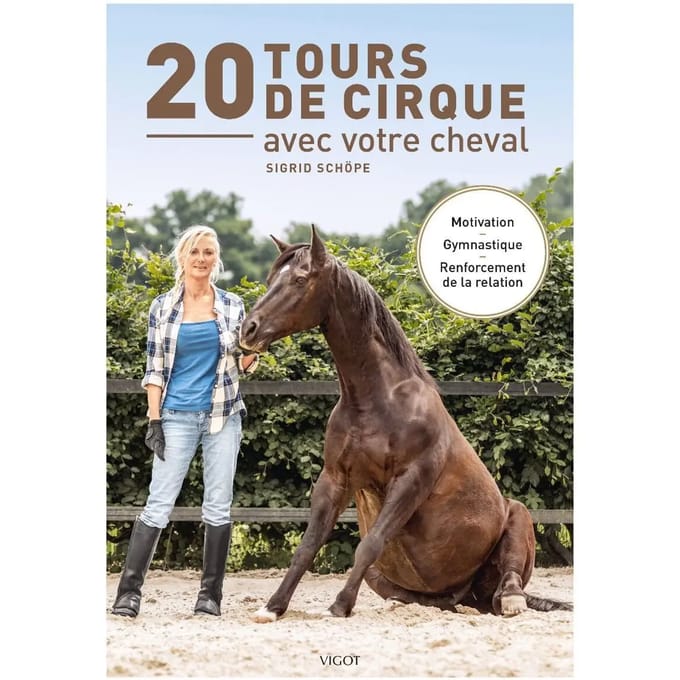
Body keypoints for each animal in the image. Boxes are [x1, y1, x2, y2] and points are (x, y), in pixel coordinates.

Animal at [239, 226, 572, 621]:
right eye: (272, 279)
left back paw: (511, 601)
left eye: (300, 280)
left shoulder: (411, 480)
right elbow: (308, 545)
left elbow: (369, 544)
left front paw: (339, 606)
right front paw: (272, 607)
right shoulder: (335, 479)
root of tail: (471, 594)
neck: (377, 402)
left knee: (507, 584)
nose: (248, 330)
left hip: (517, 516)